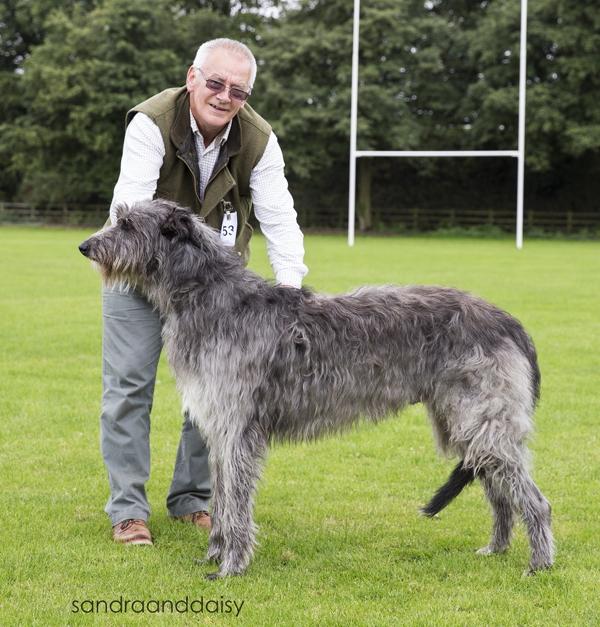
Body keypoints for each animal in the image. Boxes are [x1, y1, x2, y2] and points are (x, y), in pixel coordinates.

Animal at [78, 201, 552, 580]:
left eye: (127, 225)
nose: (84, 247)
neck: (211, 296)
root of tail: (508, 321)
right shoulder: (218, 428)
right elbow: (224, 500)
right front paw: (213, 556)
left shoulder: (236, 431)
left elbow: (236, 504)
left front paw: (230, 568)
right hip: (467, 423)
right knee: (499, 491)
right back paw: (496, 548)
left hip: (484, 419)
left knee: (534, 499)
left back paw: (539, 563)